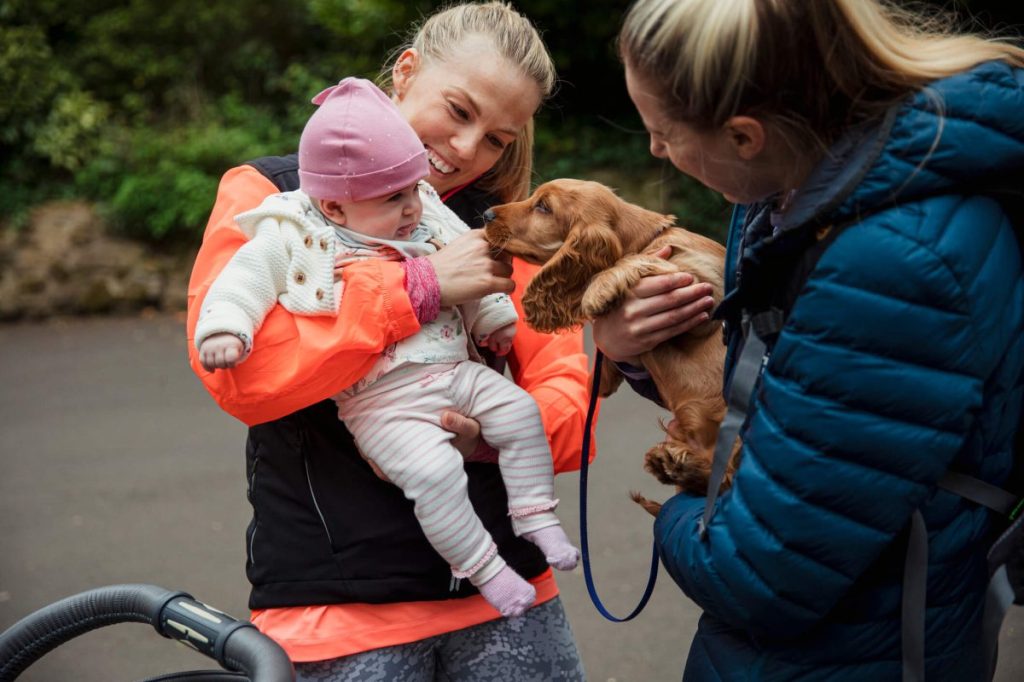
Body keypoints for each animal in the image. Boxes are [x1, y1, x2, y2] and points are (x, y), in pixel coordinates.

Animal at [483, 178, 733, 512]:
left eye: (544, 207)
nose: (486, 214)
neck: (647, 238)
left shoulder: (706, 290)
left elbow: (637, 259)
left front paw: (597, 290)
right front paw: (599, 379)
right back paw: (673, 464)